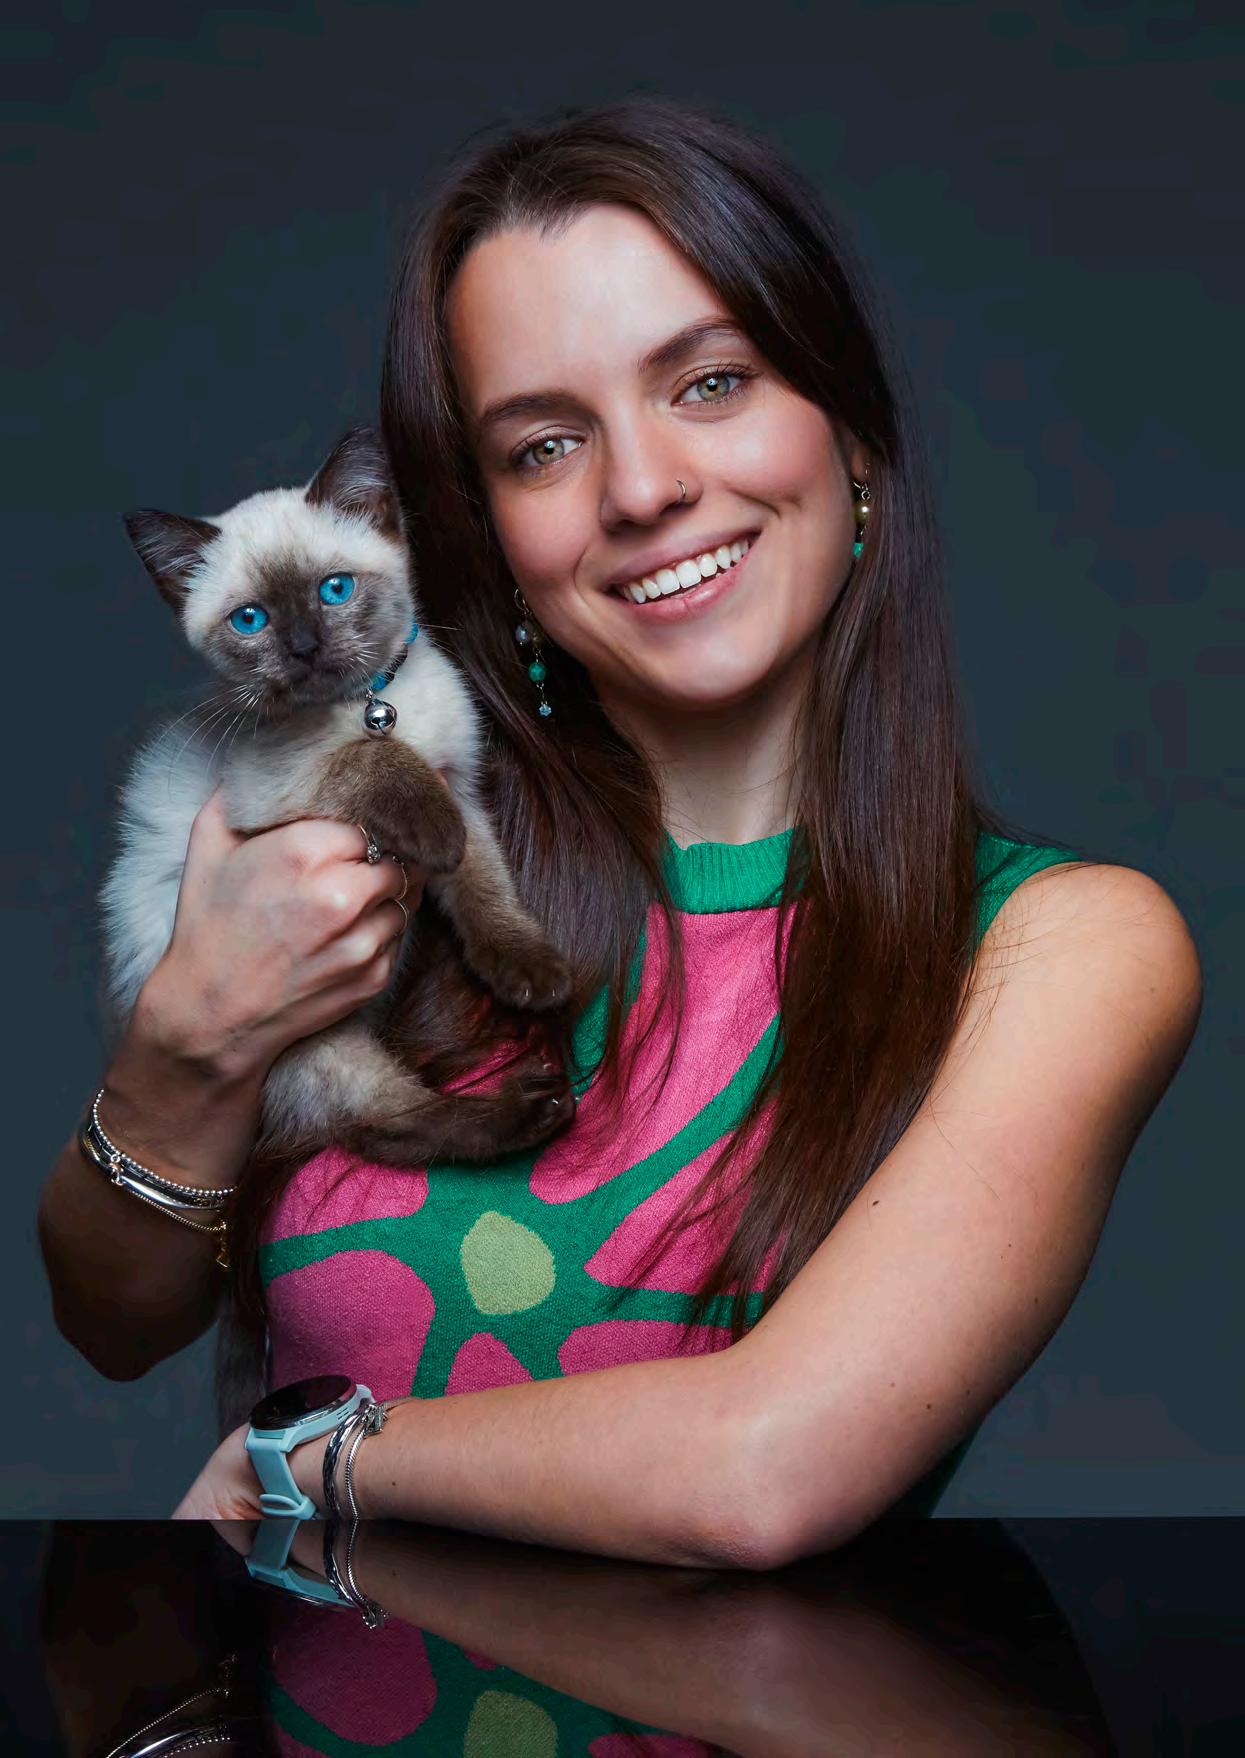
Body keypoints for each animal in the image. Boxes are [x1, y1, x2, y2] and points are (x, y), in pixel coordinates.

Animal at [101, 426, 575, 1167]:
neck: (375, 704)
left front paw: (530, 972)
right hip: (308, 1045)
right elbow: (370, 760)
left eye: (334, 589)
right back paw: (530, 1112)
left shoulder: (463, 792)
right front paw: (425, 824)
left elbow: (483, 887)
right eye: (250, 620)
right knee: (384, 1126)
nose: (303, 647)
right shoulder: (269, 798)